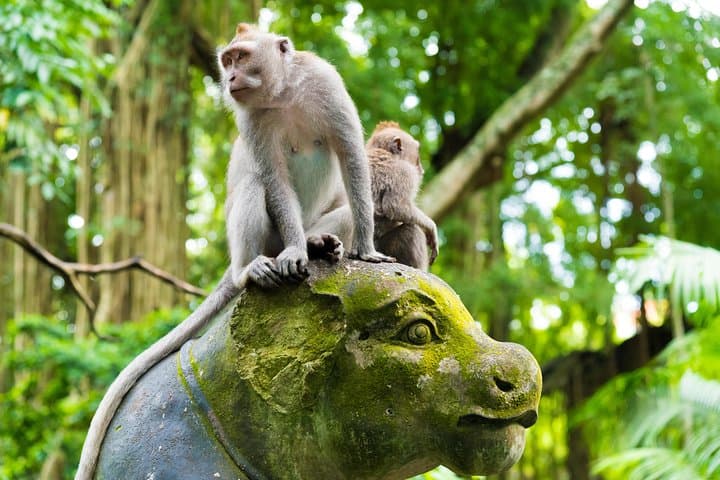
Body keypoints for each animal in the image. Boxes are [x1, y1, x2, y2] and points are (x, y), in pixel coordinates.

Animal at [75, 23, 392, 480]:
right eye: (226, 61)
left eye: (240, 57)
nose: (230, 79)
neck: (283, 95)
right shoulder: (252, 121)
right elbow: (273, 177)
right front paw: (295, 251)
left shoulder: (326, 85)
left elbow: (351, 158)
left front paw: (364, 248)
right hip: (261, 244)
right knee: (255, 184)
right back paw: (256, 269)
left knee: (345, 208)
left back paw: (319, 243)